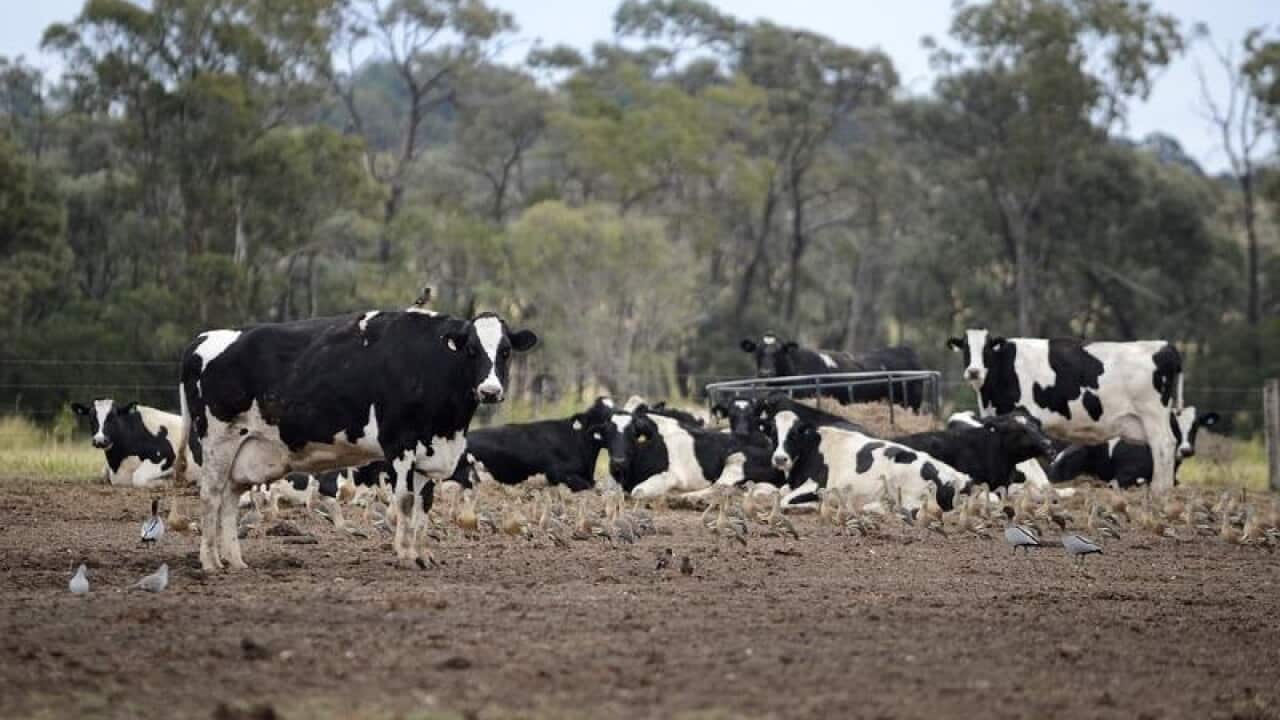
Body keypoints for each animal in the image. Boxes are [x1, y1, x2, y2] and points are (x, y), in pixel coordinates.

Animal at [178, 306, 537, 571]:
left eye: (505, 352)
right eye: (472, 350)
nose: (490, 391)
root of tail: (205, 337)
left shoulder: (429, 450)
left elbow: (424, 505)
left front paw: (423, 555)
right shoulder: (399, 444)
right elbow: (405, 501)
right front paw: (406, 556)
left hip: (245, 450)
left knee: (229, 499)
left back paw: (235, 561)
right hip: (218, 439)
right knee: (211, 496)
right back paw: (210, 562)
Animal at [763, 405, 973, 510]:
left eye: (794, 434)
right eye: (773, 433)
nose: (780, 459)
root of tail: (958, 477)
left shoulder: (817, 484)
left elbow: (784, 500)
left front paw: (812, 504)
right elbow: (779, 492)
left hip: (907, 490)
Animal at [948, 328, 1183, 493]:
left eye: (987, 348)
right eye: (966, 348)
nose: (974, 371)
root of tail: (1163, 346)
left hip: (1153, 414)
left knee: (1163, 446)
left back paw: (1159, 492)